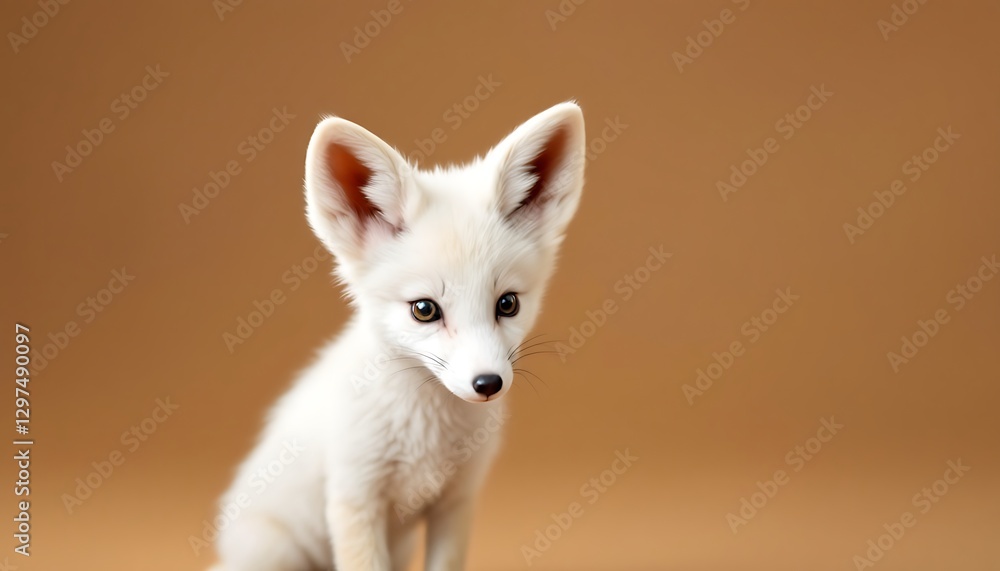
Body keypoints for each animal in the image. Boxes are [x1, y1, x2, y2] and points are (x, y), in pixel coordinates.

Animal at [211, 102, 586, 571]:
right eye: (424, 310)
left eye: (507, 304)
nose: (488, 383)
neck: (426, 437)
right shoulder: (354, 498)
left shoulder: (455, 503)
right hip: (276, 551)